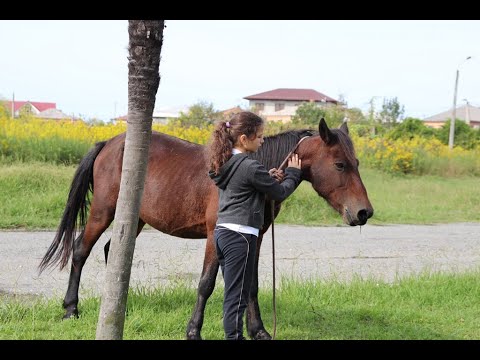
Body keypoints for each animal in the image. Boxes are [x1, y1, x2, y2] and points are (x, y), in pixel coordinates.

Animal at [38, 118, 376, 340]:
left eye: (357, 162)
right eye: (340, 164)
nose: (364, 212)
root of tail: (109, 144)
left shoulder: (255, 238)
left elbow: (250, 285)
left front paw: (258, 331)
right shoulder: (217, 235)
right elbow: (206, 284)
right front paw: (193, 330)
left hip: (134, 218)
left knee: (115, 252)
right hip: (103, 211)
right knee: (81, 250)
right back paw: (71, 309)